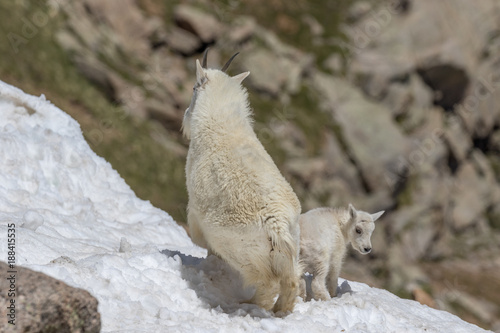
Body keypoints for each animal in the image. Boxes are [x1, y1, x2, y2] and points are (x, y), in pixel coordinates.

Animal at [183, 50, 300, 312]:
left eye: (194, 87)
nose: (185, 118)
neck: (218, 124)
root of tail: (277, 223)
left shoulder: (195, 208)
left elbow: (198, 237)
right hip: (292, 246)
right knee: (292, 281)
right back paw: (280, 311)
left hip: (239, 247)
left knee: (267, 283)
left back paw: (246, 304)